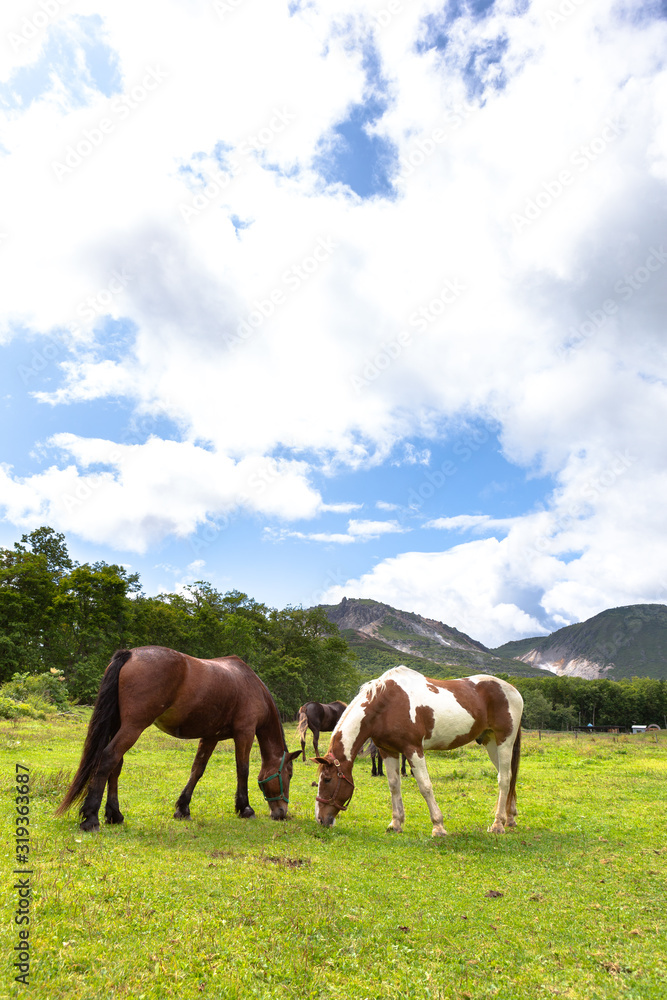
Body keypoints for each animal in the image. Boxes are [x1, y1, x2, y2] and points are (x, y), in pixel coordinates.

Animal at [56, 644, 302, 832]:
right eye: (289, 774)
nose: (281, 812)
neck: (251, 685)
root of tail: (131, 654)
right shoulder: (245, 733)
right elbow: (243, 770)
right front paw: (245, 808)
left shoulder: (210, 736)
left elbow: (197, 770)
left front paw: (182, 808)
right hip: (133, 727)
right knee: (108, 758)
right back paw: (91, 818)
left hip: (121, 727)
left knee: (116, 765)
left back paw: (114, 814)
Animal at [316, 668, 524, 840]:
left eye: (327, 779)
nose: (320, 819)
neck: (386, 705)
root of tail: (513, 690)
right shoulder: (388, 751)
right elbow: (394, 785)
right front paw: (396, 823)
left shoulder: (413, 749)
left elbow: (425, 786)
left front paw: (438, 827)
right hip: (491, 743)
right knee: (508, 776)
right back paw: (510, 818)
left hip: (504, 742)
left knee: (504, 779)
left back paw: (498, 824)